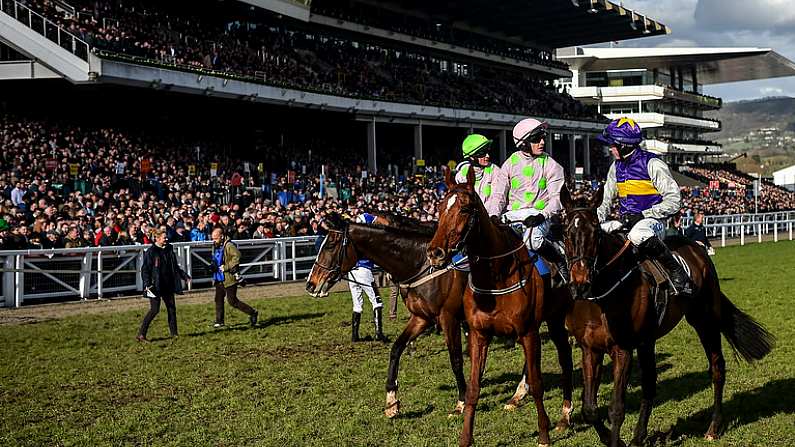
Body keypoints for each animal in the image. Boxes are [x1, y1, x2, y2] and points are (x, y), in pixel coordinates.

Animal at [426, 169, 568, 447]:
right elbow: (473, 388)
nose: (435, 253)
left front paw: (543, 434)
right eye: (440, 207)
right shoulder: (479, 334)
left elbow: (538, 383)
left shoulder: (528, 331)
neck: (498, 274)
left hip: (557, 318)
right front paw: (466, 437)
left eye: (465, 209)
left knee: (565, 356)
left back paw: (565, 416)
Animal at [556, 188, 776, 447]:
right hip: (648, 340)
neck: (600, 297)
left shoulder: (622, 349)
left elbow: (616, 408)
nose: (580, 283)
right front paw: (614, 439)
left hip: (704, 320)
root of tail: (697, 249)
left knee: (717, 368)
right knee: (650, 384)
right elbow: (589, 409)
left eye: (596, 233)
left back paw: (713, 428)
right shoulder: (590, 348)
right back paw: (639, 437)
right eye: (566, 233)